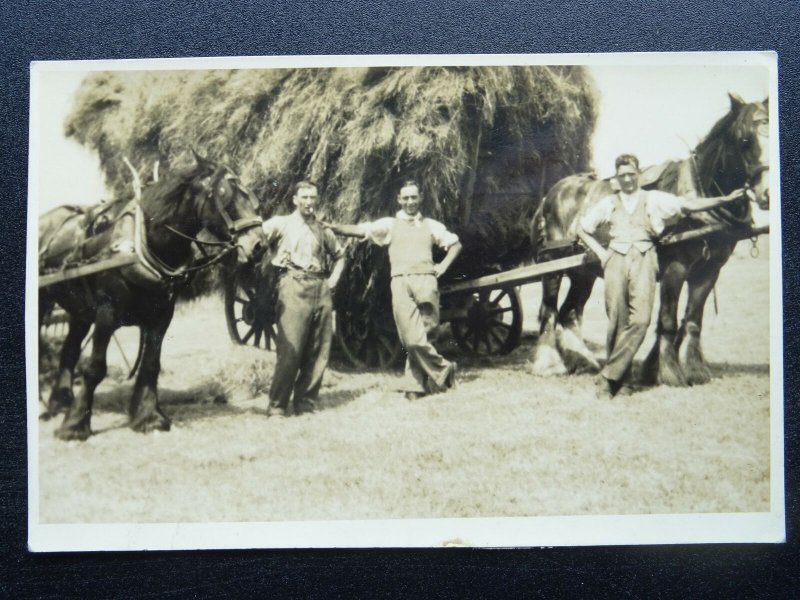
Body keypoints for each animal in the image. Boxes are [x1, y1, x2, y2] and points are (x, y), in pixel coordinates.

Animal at [39, 152, 264, 438]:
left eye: (250, 196)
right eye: (225, 196)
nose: (259, 245)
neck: (141, 242)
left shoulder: (162, 314)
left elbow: (150, 365)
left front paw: (148, 417)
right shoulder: (106, 311)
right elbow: (95, 367)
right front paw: (75, 424)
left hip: (80, 311)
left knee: (68, 352)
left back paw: (59, 402)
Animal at [532, 94, 768, 384]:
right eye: (745, 140)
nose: (766, 193)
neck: (698, 190)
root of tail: (551, 194)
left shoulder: (710, 270)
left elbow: (692, 319)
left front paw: (691, 369)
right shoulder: (675, 268)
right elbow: (668, 320)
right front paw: (669, 373)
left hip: (583, 272)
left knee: (569, 313)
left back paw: (583, 361)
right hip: (551, 266)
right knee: (549, 311)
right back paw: (548, 364)